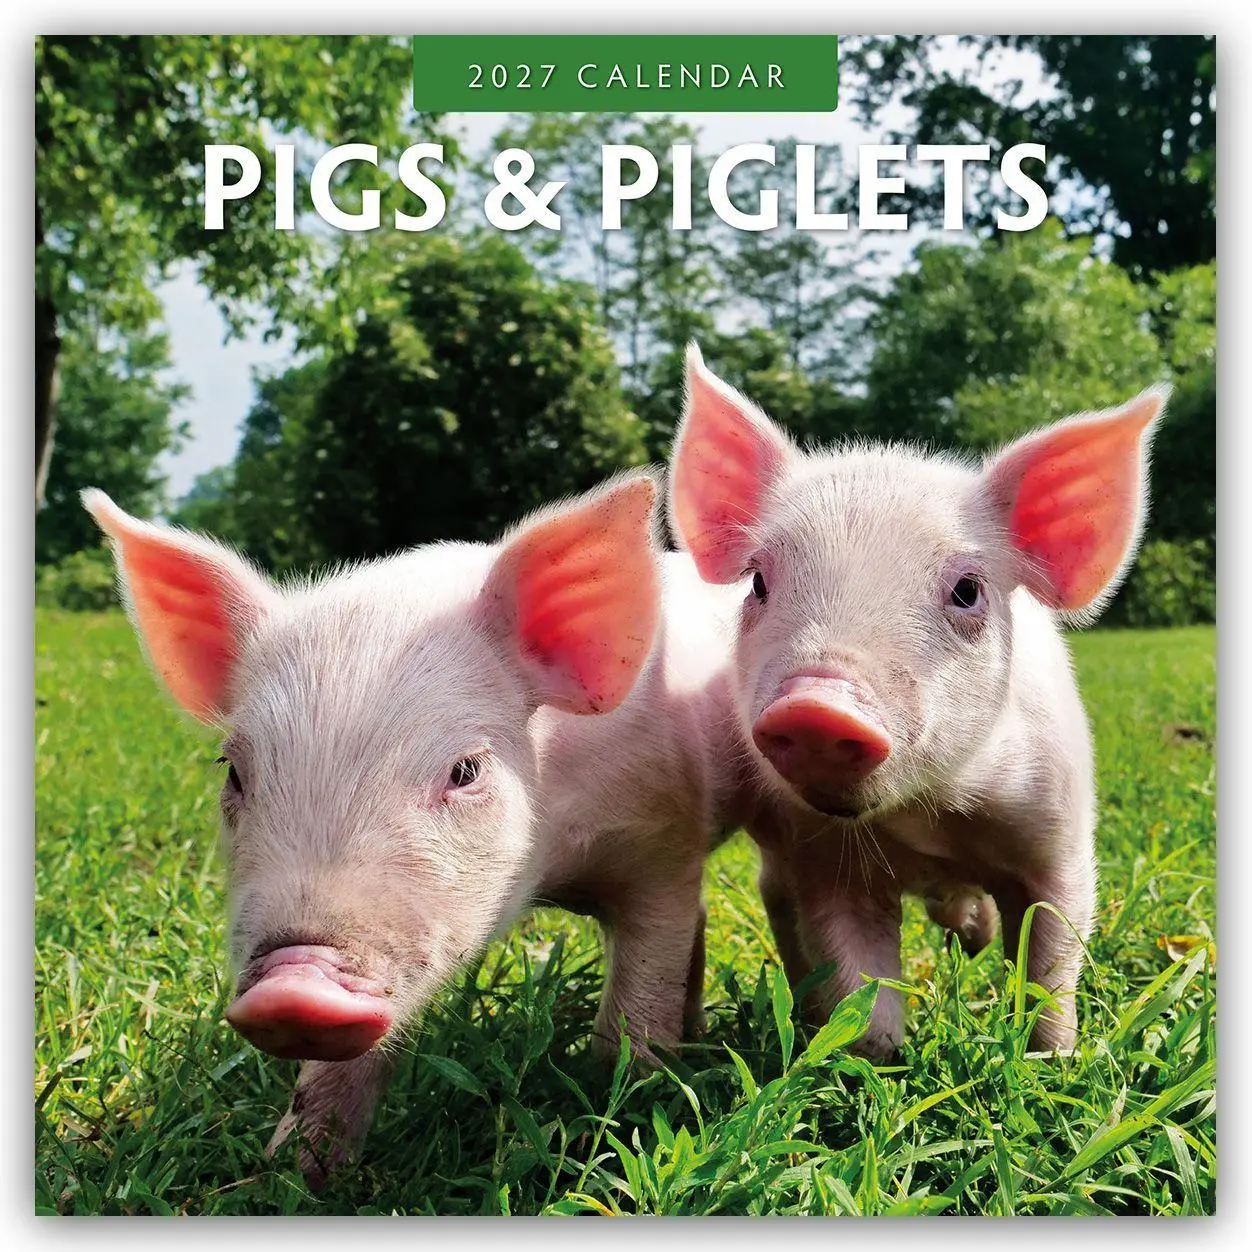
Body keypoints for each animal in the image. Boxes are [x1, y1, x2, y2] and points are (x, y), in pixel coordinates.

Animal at [83, 472, 743, 1186]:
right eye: (233, 772)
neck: (550, 870)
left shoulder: (663, 842)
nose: (293, 985)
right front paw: (294, 1172)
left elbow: (639, 1001)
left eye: (464, 770)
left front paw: (631, 1118)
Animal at [668, 344, 1166, 1058]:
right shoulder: (823, 860)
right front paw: (877, 1060)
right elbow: (861, 987)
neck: (928, 819)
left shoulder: (1059, 834)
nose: (817, 706)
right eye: (759, 581)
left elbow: (1050, 958)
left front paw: (1052, 1057)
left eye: (967, 590)